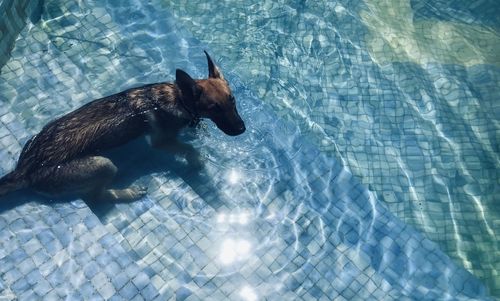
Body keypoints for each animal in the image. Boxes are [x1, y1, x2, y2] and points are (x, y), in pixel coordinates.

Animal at [0, 51, 246, 202]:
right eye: (214, 108)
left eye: (232, 100)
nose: (242, 129)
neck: (179, 97)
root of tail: (24, 169)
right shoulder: (161, 142)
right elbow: (189, 148)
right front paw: (196, 161)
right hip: (104, 165)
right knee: (97, 197)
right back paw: (128, 193)